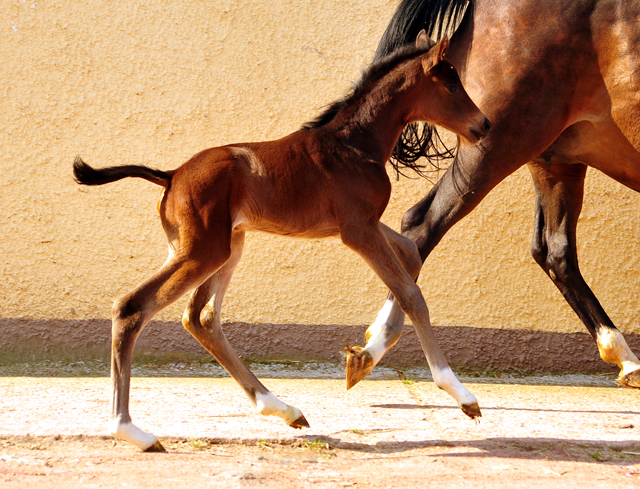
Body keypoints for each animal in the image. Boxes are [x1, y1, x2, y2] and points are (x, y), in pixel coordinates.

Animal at [71, 33, 490, 450]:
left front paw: (364, 354)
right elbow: (410, 293)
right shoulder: (358, 230)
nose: (484, 124)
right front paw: (461, 394)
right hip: (203, 251)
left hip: (226, 246)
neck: (355, 144)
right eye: (451, 83)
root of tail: (171, 175)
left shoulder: (363, 225)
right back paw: (130, 429)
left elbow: (410, 252)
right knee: (132, 307)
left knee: (201, 317)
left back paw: (282, 409)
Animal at [344, 0, 640, 390]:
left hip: (555, 160)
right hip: (498, 144)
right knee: (423, 224)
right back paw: (376, 344)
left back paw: (623, 355)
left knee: (555, 250)